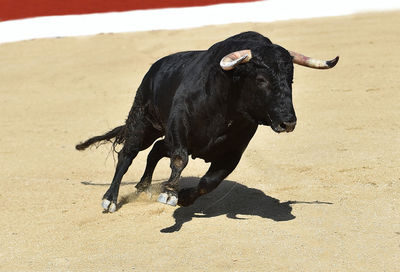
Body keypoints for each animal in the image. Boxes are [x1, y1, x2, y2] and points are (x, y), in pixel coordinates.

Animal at [75, 30, 338, 212]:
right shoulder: (179, 123)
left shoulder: (233, 152)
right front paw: (169, 193)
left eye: (290, 80)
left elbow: (210, 181)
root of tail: (153, 69)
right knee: (127, 155)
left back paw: (143, 186)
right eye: (261, 79)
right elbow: (180, 160)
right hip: (143, 123)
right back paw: (110, 199)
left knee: (156, 150)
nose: (288, 122)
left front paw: (183, 197)